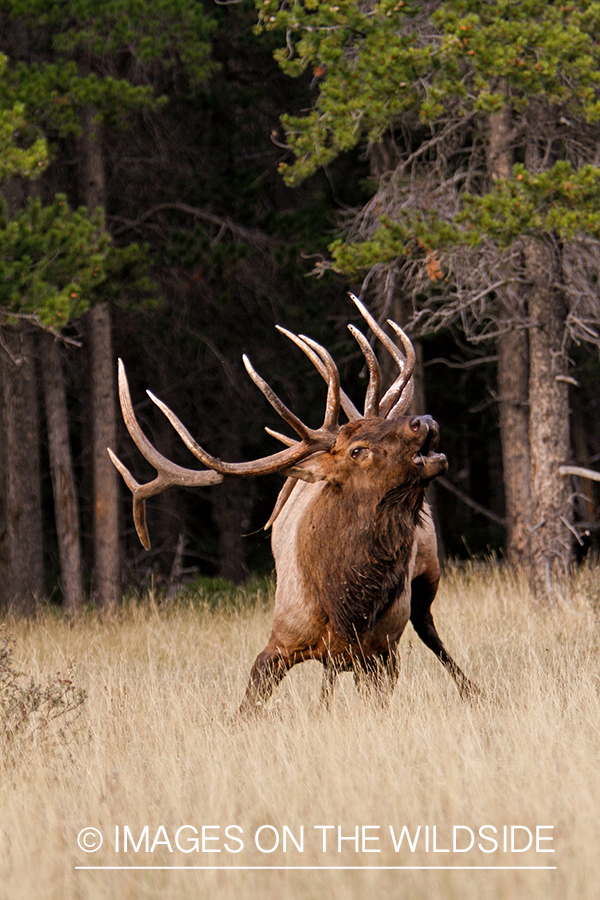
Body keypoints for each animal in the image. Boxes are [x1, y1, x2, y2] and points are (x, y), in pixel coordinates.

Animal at [109, 298, 478, 712]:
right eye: (357, 450)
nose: (423, 420)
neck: (346, 607)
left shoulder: (384, 649)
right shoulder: (283, 638)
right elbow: (248, 706)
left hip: (428, 574)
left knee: (430, 630)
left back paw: (473, 690)